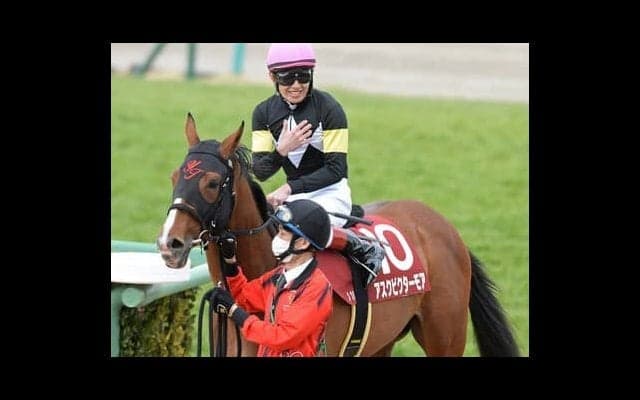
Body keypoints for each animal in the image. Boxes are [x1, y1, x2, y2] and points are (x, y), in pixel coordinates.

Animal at [157, 114, 520, 356]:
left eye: (212, 183)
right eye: (174, 176)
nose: (169, 243)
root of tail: (446, 229)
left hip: (446, 336)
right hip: (381, 343)